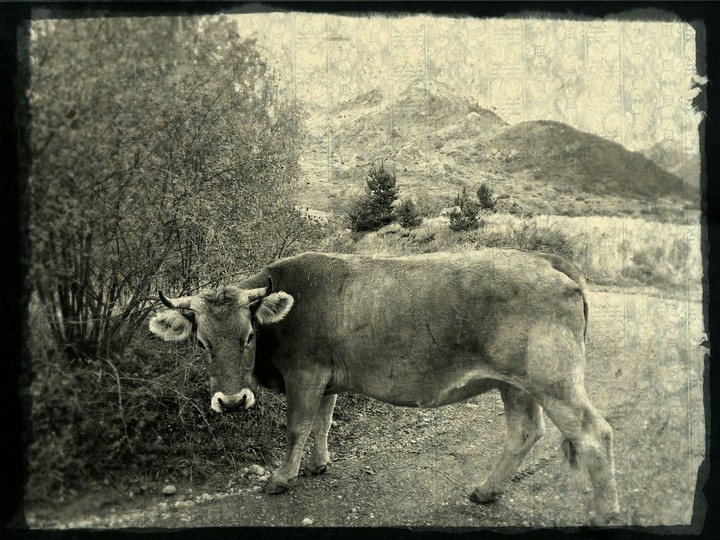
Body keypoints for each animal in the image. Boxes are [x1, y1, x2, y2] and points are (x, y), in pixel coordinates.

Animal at [148, 250, 619, 524]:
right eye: (202, 342)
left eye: (249, 336)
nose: (231, 402)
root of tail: (546, 260)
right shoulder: (327, 378)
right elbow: (323, 420)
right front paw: (318, 463)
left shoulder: (305, 374)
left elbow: (297, 427)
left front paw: (282, 477)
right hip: (516, 383)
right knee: (524, 432)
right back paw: (486, 490)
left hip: (554, 380)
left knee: (594, 435)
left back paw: (605, 513)